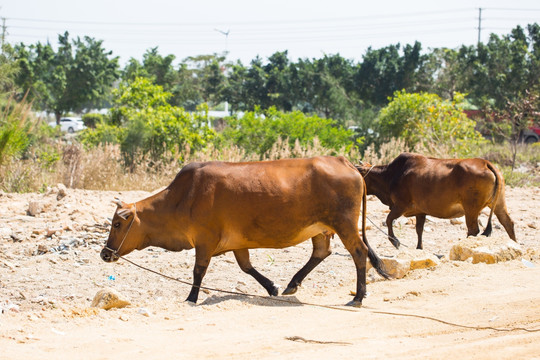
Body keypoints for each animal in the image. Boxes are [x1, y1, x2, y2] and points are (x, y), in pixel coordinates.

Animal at [101, 156, 388, 306]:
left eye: (117, 224)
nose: (104, 254)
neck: (184, 197)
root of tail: (344, 162)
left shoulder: (204, 241)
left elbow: (198, 270)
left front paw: (191, 297)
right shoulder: (238, 243)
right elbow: (246, 267)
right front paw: (272, 287)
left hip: (345, 225)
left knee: (359, 253)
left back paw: (358, 296)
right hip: (321, 229)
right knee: (321, 253)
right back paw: (292, 284)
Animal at [356, 153, 516, 250]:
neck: (391, 175)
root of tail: (485, 163)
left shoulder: (400, 206)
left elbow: (389, 220)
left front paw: (395, 241)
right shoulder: (420, 211)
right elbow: (419, 230)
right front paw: (419, 248)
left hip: (471, 208)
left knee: (473, 230)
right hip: (499, 204)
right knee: (508, 223)